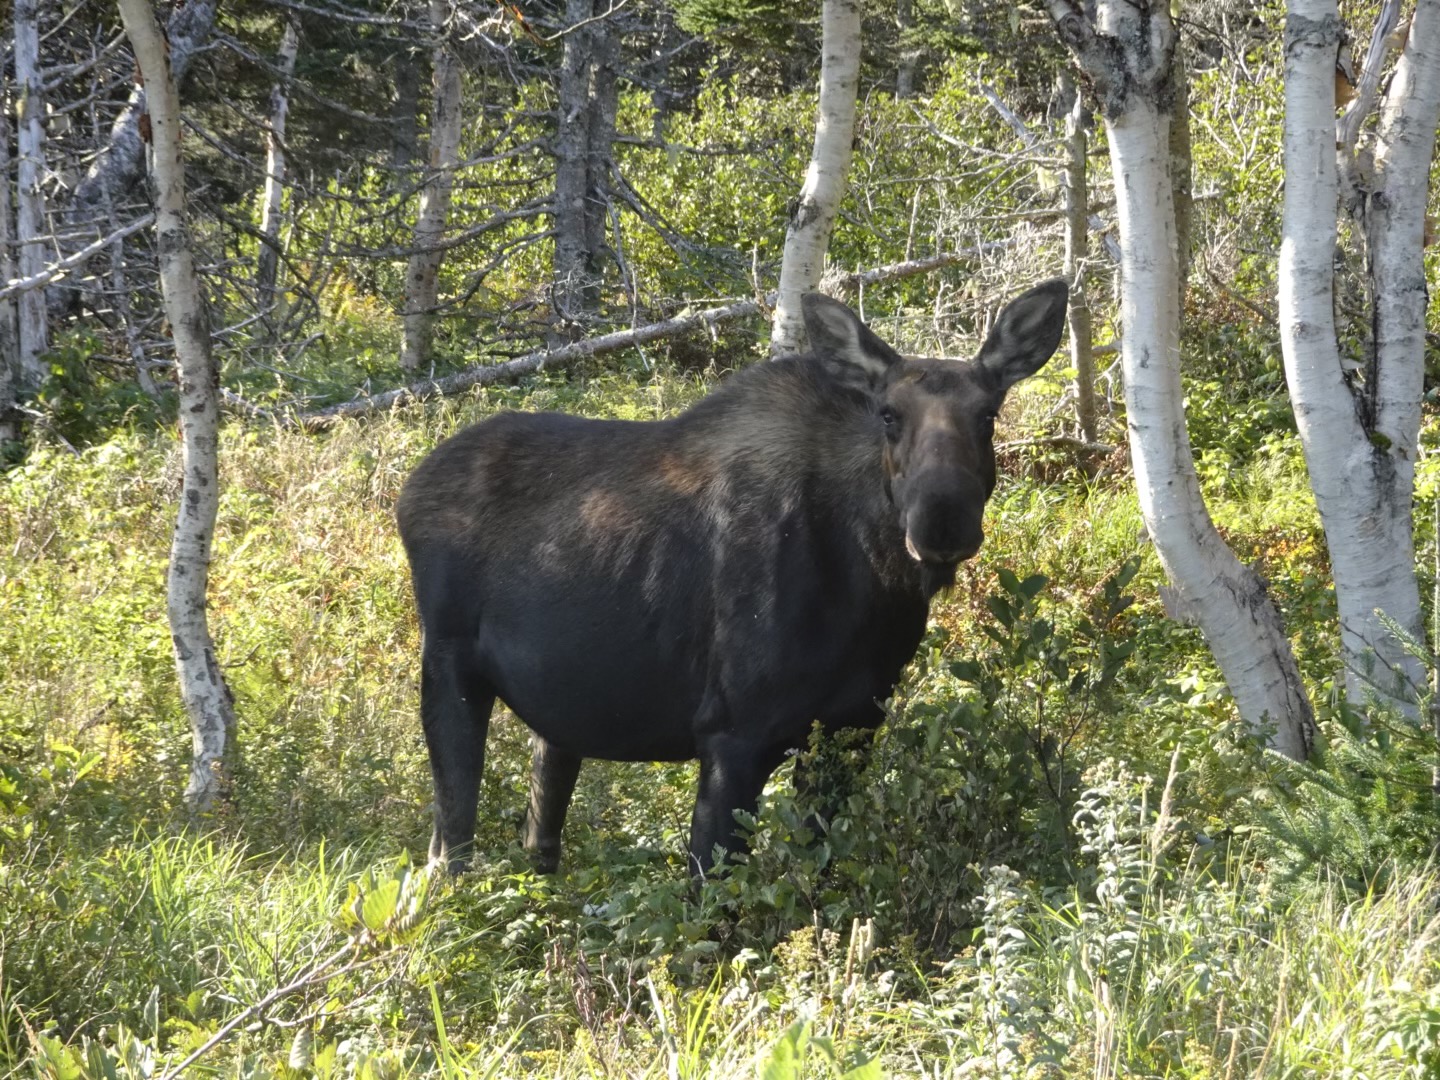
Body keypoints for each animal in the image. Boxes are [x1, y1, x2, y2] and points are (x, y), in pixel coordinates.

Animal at [397, 275, 1071, 875]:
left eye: (988, 414)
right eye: (888, 414)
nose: (942, 520)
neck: (871, 589)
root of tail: (409, 489)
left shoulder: (853, 726)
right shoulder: (731, 733)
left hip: (559, 711)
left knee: (538, 827)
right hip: (447, 665)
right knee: (447, 849)